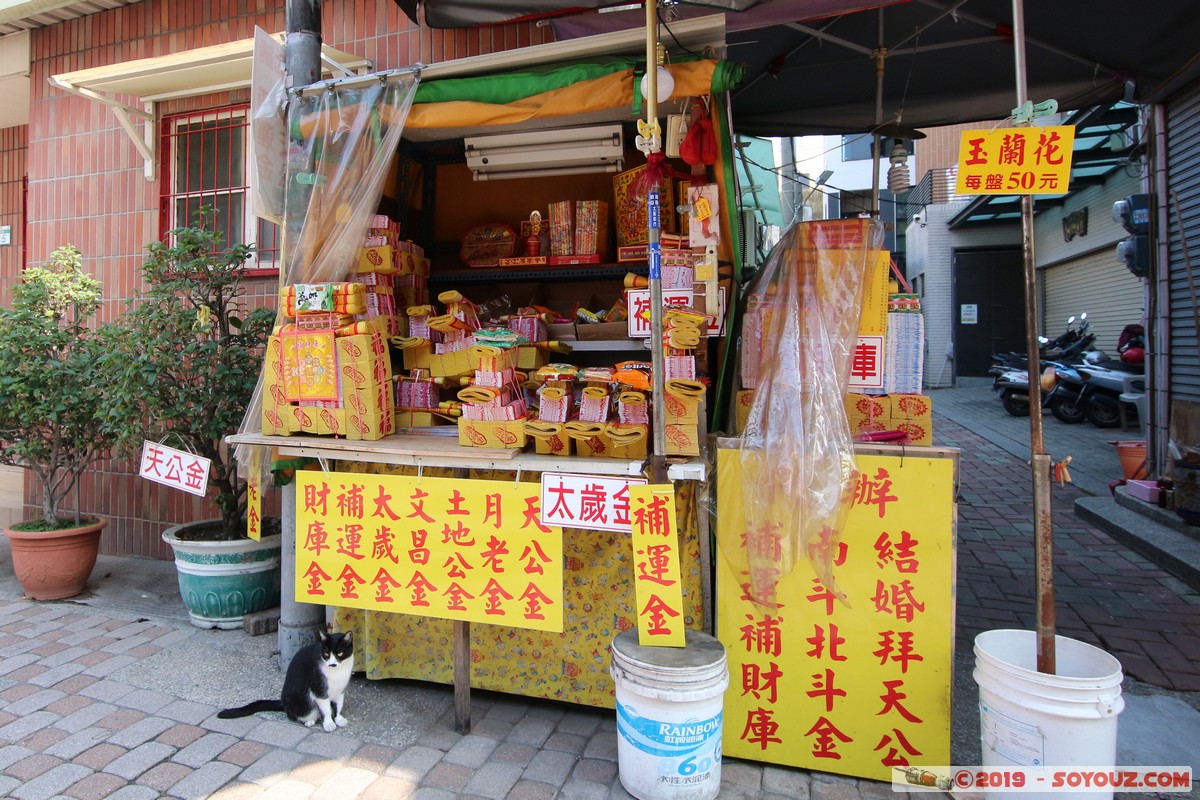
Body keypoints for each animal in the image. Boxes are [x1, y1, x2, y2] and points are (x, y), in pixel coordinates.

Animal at [218, 633, 352, 734]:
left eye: (340, 654)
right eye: (326, 654)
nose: (332, 664)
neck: (337, 673)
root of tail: (283, 702)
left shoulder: (340, 690)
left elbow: (338, 705)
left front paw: (339, 719)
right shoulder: (318, 689)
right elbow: (326, 709)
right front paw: (329, 723)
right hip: (300, 701)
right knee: (294, 714)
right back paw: (308, 721)